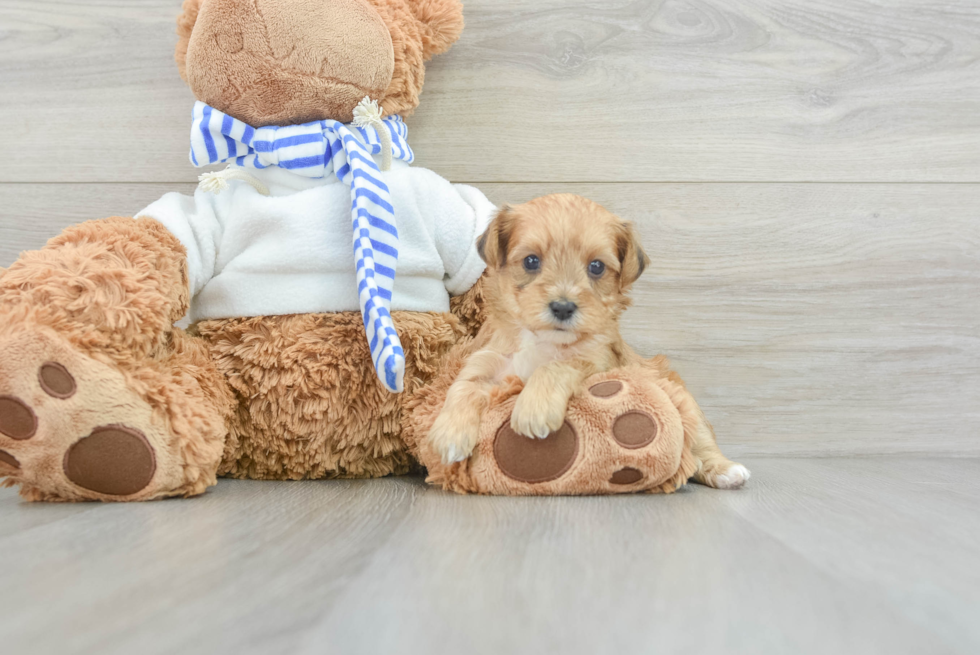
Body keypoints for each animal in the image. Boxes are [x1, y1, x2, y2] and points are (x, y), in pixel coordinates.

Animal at [428, 192, 752, 490]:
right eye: (531, 261)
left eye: (596, 267)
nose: (562, 307)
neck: (541, 342)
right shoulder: (487, 362)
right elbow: (463, 387)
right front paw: (449, 434)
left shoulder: (598, 363)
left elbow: (557, 366)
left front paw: (534, 409)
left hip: (683, 399)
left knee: (701, 441)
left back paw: (725, 470)